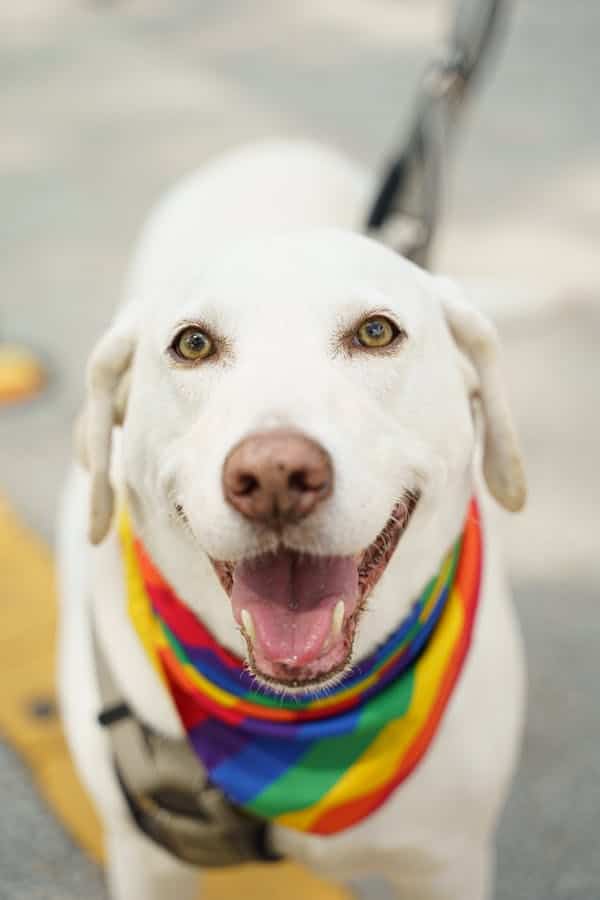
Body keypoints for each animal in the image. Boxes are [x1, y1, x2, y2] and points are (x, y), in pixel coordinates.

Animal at [56, 141, 524, 900]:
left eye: (376, 332)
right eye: (192, 345)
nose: (275, 476)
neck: (296, 728)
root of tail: (274, 147)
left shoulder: (448, 863)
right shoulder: (147, 862)